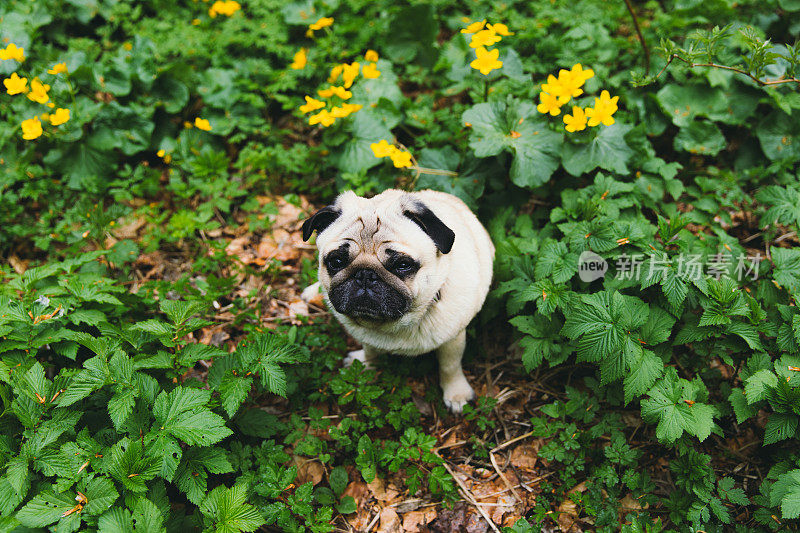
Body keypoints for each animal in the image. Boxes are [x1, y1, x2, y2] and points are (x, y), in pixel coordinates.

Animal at [302, 189, 494, 414]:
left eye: (402, 265)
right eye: (336, 261)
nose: (365, 275)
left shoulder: (453, 339)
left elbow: (450, 366)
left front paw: (456, 394)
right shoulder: (368, 338)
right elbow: (371, 352)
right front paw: (366, 364)